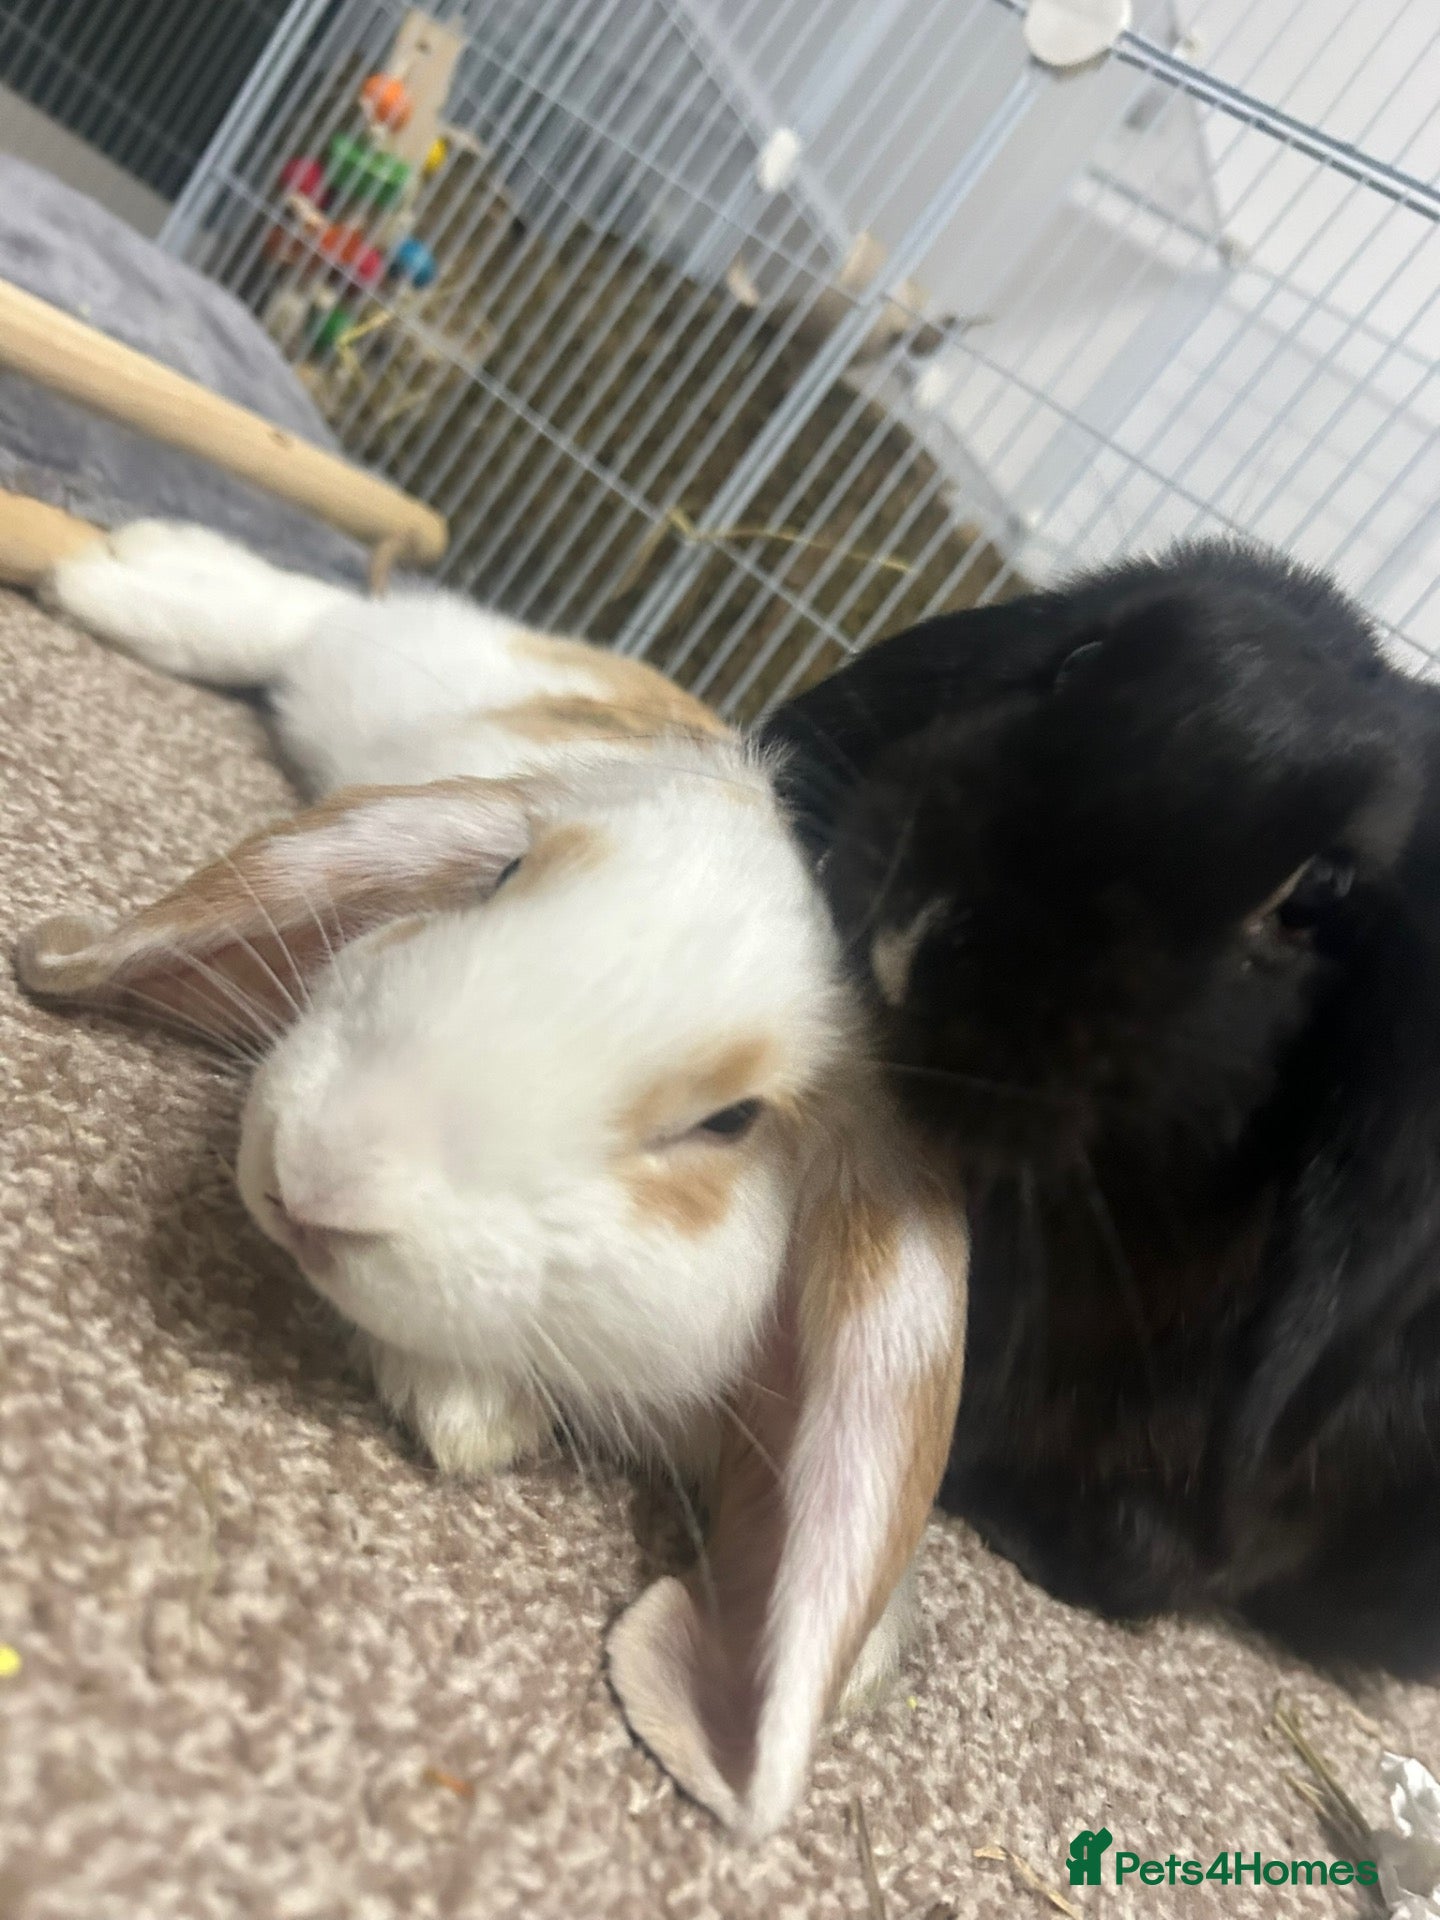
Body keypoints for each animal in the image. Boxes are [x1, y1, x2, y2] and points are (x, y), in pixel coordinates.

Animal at [17, 520, 967, 1838]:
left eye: (729, 1122)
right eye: (502, 877)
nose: (312, 1173)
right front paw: (472, 1412)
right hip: (402, 676)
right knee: (313, 617)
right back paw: (129, 574)